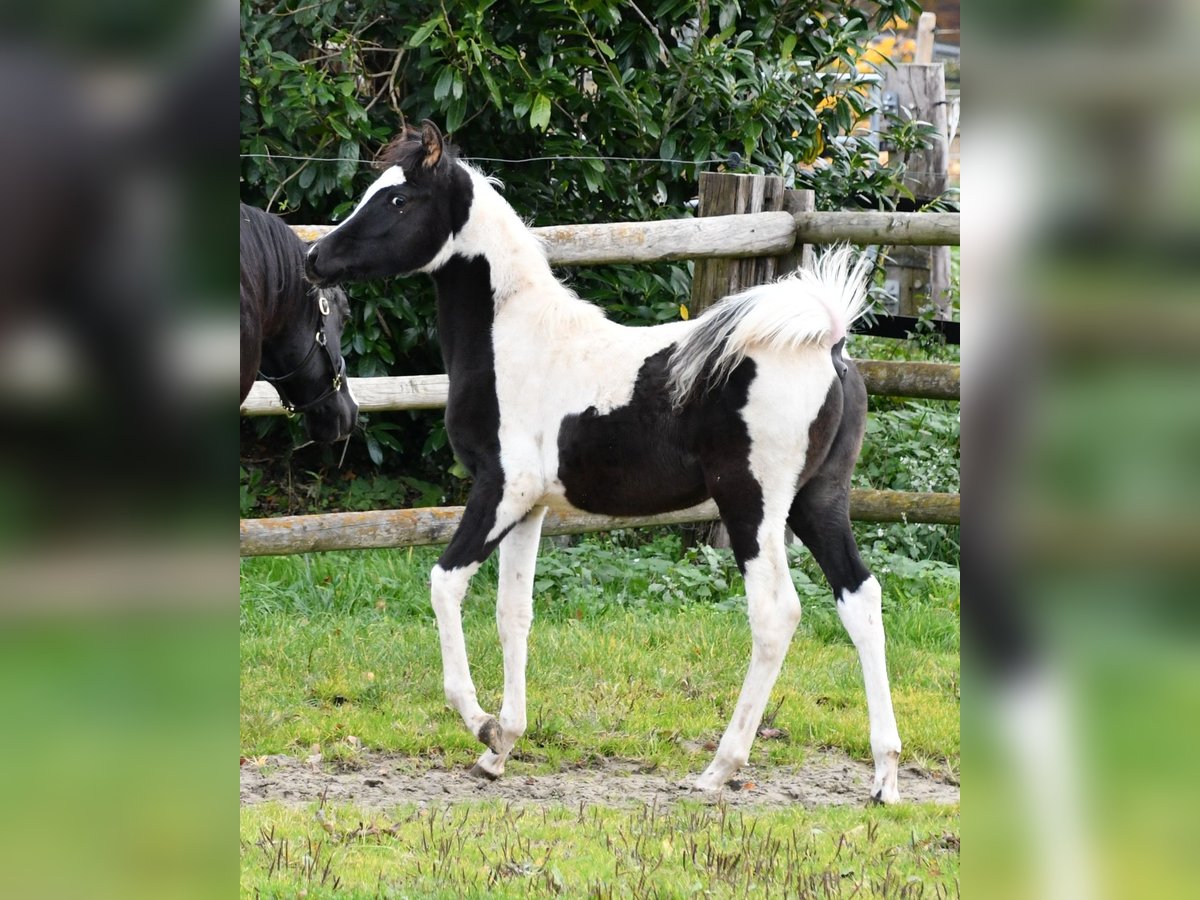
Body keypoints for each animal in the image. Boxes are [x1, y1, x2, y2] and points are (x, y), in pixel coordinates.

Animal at [304, 121, 903, 802]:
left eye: (398, 200)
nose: (315, 259)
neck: (515, 338)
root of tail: (827, 341)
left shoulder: (501, 489)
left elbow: (445, 583)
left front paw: (482, 724)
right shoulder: (532, 507)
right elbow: (513, 612)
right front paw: (501, 748)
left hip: (753, 505)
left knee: (777, 614)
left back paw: (719, 769)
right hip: (818, 501)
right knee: (860, 599)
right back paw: (884, 777)